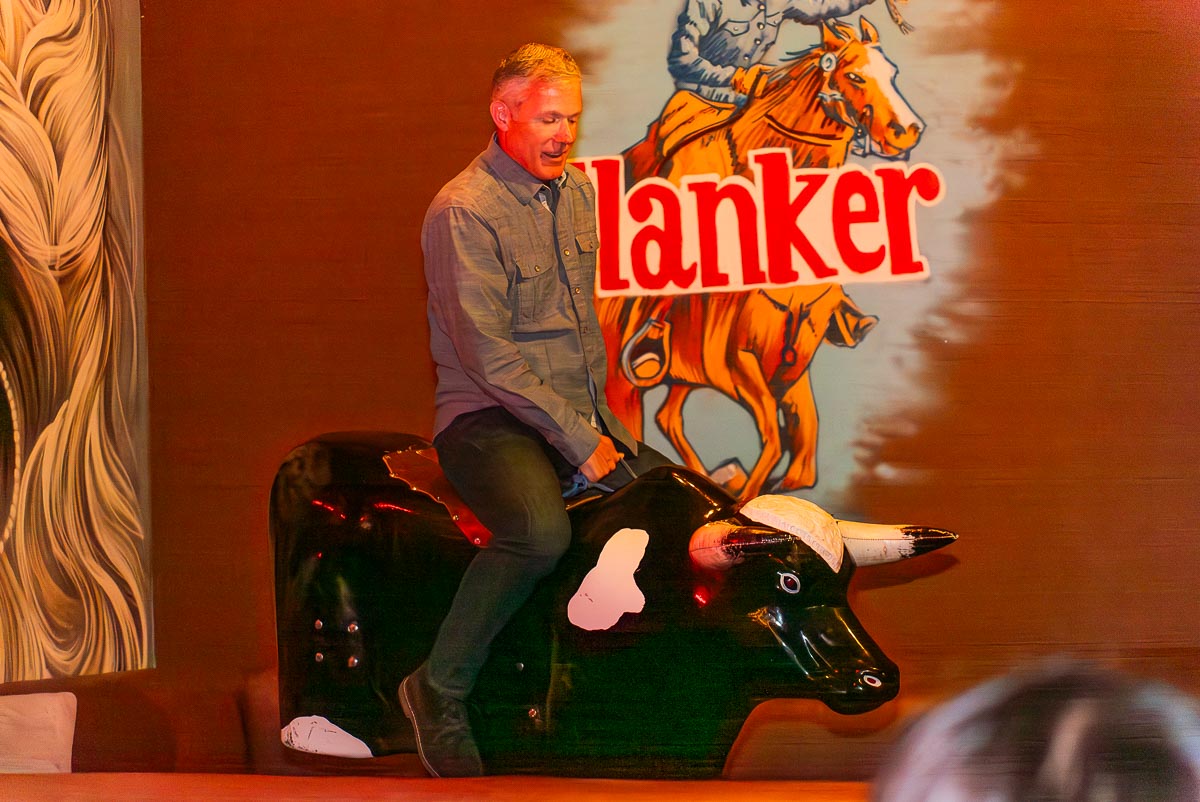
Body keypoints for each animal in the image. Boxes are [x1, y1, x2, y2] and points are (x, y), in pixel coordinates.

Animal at [271, 432, 955, 777]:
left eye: (845, 585)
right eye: (786, 582)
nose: (878, 677)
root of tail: (306, 456)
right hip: (324, 620)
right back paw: (342, 737)